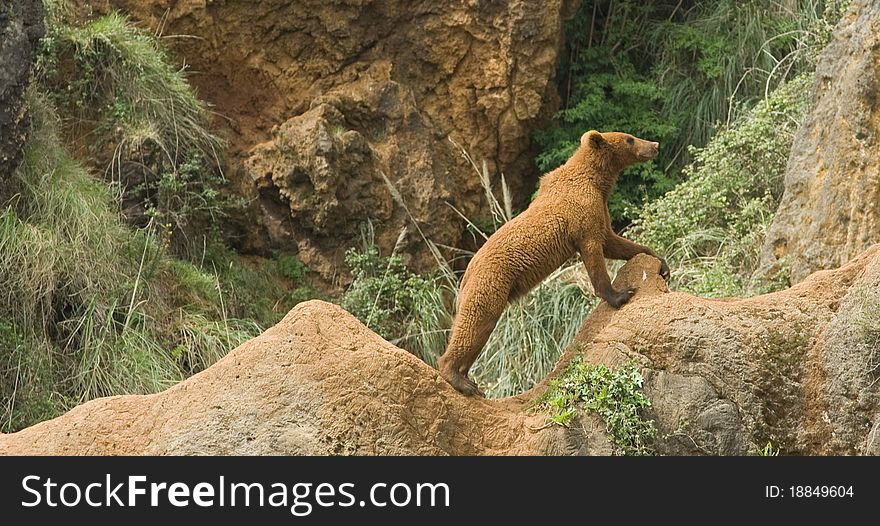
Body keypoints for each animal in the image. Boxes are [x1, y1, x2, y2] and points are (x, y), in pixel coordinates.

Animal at [436, 131, 672, 396]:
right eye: (629, 139)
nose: (654, 145)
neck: (597, 180)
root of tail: (465, 274)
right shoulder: (583, 214)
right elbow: (595, 253)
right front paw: (622, 294)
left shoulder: (598, 210)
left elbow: (614, 242)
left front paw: (660, 264)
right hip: (491, 283)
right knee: (476, 324)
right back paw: (459, 379)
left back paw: (470, 380)